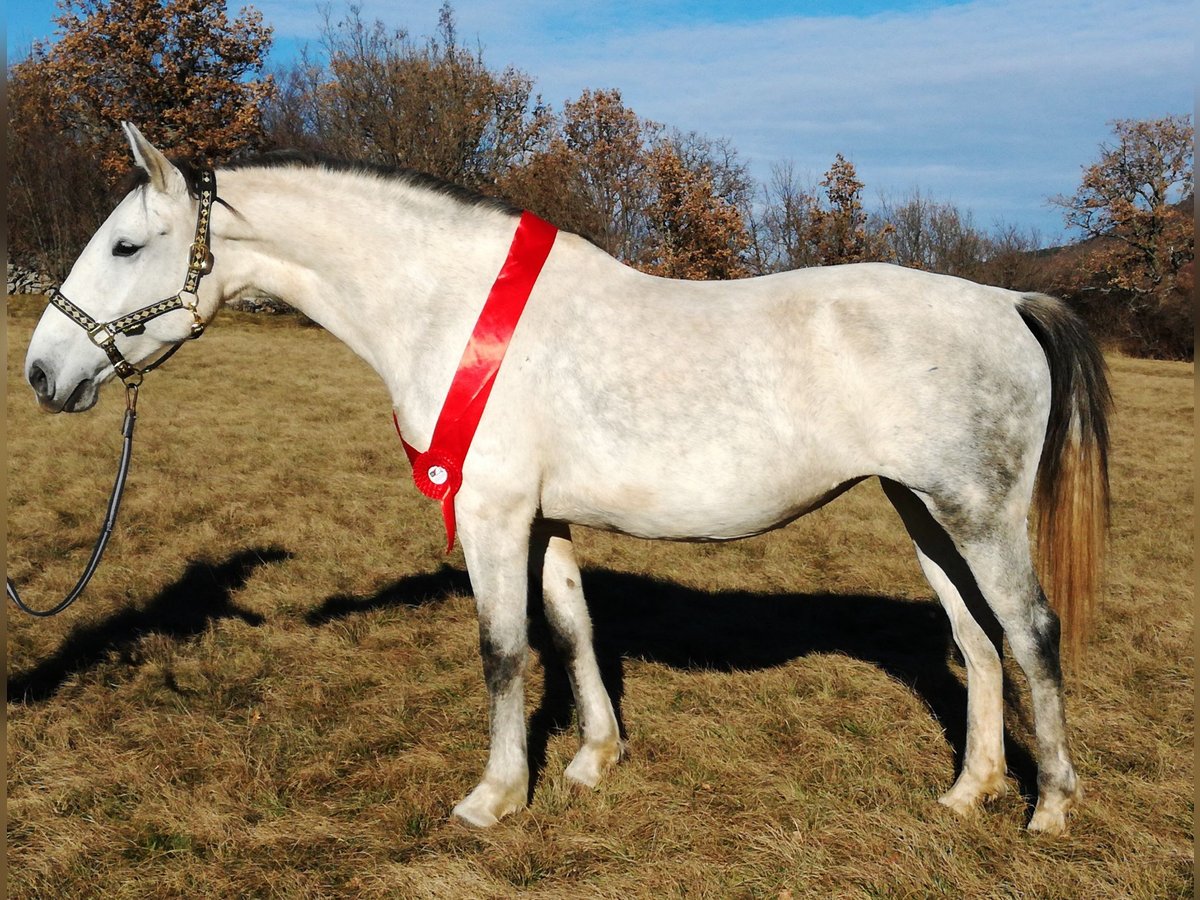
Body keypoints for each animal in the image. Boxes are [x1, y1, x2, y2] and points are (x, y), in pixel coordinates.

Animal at [21, 123, 1104, 835]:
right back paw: (969, 793)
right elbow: (574, 628)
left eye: (126, 244)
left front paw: (494, 796)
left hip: (978, 515)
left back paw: (1049, 808)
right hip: (925, 512)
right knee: (976, 640)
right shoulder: (542, 520)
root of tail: (1006, 300)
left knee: (1030, 633)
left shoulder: (493, 515)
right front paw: (593, 758)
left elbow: (504, 651)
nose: (41, 374)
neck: (453, 310)